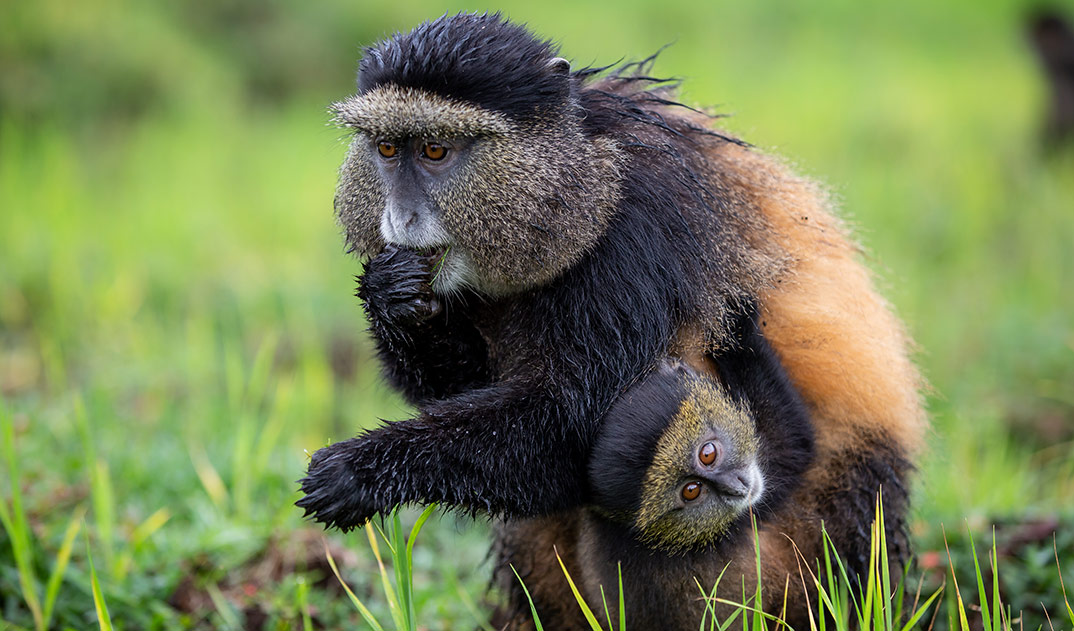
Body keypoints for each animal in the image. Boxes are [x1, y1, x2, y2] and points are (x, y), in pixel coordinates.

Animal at [296, 13, 926, 628]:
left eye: (434, 152)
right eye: (386, 149)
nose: (400, 219)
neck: (581, 180)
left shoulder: (635, 240)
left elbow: (576, 426)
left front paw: (361, 471)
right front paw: (389, 295)